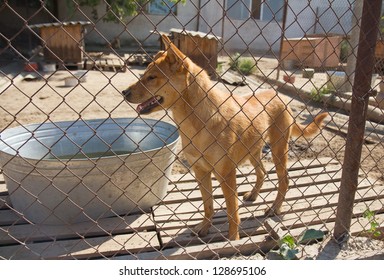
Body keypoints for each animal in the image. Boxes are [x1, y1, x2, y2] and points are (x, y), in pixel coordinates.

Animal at [122, 35, 328, 241]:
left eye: (152, 77)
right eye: (144, 75)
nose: (124, 93)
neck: (196, 122)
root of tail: (279, 95)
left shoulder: (226, 174)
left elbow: (232, 211)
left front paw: (233, 239)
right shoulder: (200, 172)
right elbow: (208, 205)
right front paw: (204, 227)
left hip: (278, 150)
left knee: (284, 180)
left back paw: (275, 208)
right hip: (253, 151)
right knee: (262, 172)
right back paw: (253, 195)